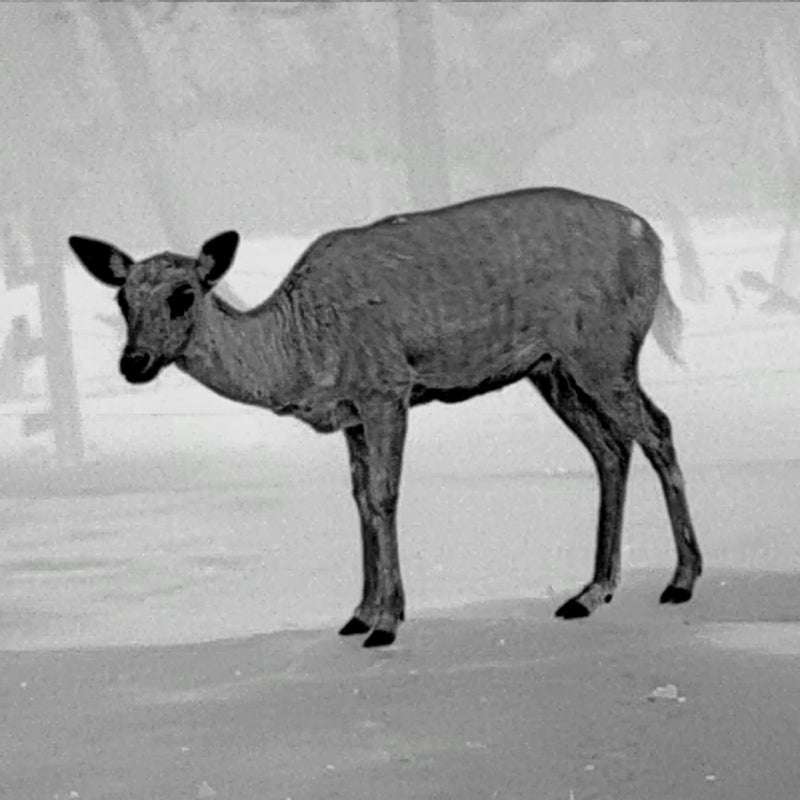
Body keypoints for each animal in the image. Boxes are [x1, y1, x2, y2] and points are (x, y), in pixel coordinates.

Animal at [72, 189, 704, 648]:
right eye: (122, 300)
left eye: (183, 295)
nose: (134, 363)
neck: (302, 354)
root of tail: (653, 242)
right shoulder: (353, 414)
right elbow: (358, 498)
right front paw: (358, 612)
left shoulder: (386, 389)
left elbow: (383, 495)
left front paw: (387, 622)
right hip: (553, 368)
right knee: (610, 447)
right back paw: (591, 592)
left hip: (604, 349)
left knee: (657, 428)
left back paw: (680, 580)